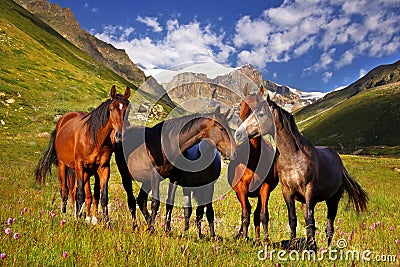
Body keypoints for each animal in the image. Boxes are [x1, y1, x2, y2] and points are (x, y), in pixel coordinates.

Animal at [34, 86, 130, 222]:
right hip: (63, 166)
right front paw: (79, 220)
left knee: (74, 191)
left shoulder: (103, 168)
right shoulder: (80, 166)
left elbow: (103, 196)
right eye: (111, 109)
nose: (120, 135)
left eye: (127, 110)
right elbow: (80, 194)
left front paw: (106, 222)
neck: (94, 138)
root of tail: (62, 121)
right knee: (65, 190)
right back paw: (64, 213)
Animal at [228, 85, 278, 244]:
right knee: (248, 211)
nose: (241, 133)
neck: (253, 159)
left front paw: (266, 240)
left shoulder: (265, 188)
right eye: (241, 104)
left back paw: (257, 239)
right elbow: (245, 213)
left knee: (256, 213)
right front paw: (243, 237)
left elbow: (263, 214)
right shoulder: (241, 189)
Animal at [234, 97, 368, 250]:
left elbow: (310, 221)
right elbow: (293, 220)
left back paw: (327, 249)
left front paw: (312, 247)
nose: (238, 134)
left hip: (333, 200)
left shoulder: (309, 191)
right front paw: (293, 245)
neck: (293, 158)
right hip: (306, 201)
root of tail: (339, 162)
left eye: (261, 114)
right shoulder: (287, 192)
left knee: (330, 227)